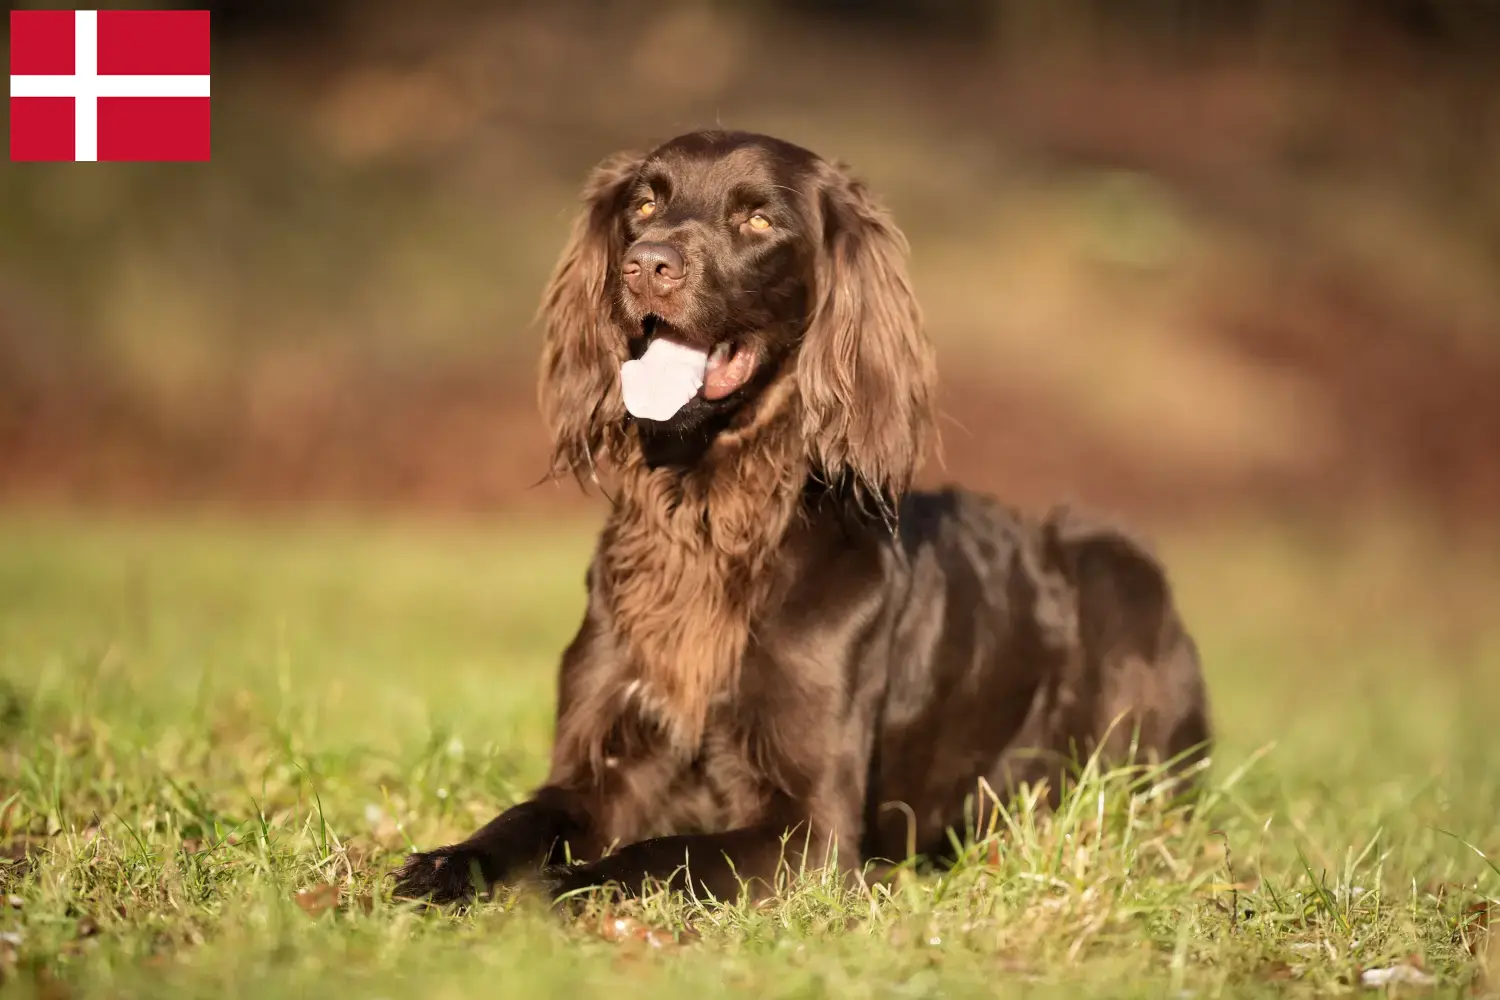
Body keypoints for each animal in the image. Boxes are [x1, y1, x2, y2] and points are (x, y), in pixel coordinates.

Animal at [390, 131, 1206, 905]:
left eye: (757, 219)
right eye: (644, 205)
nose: (646, 266)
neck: (711, 519)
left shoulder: (811, 831)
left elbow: (656, 854)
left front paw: (560, 887)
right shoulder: (601, 766)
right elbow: (520, 821)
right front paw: (443, 868)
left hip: (1117, 566)